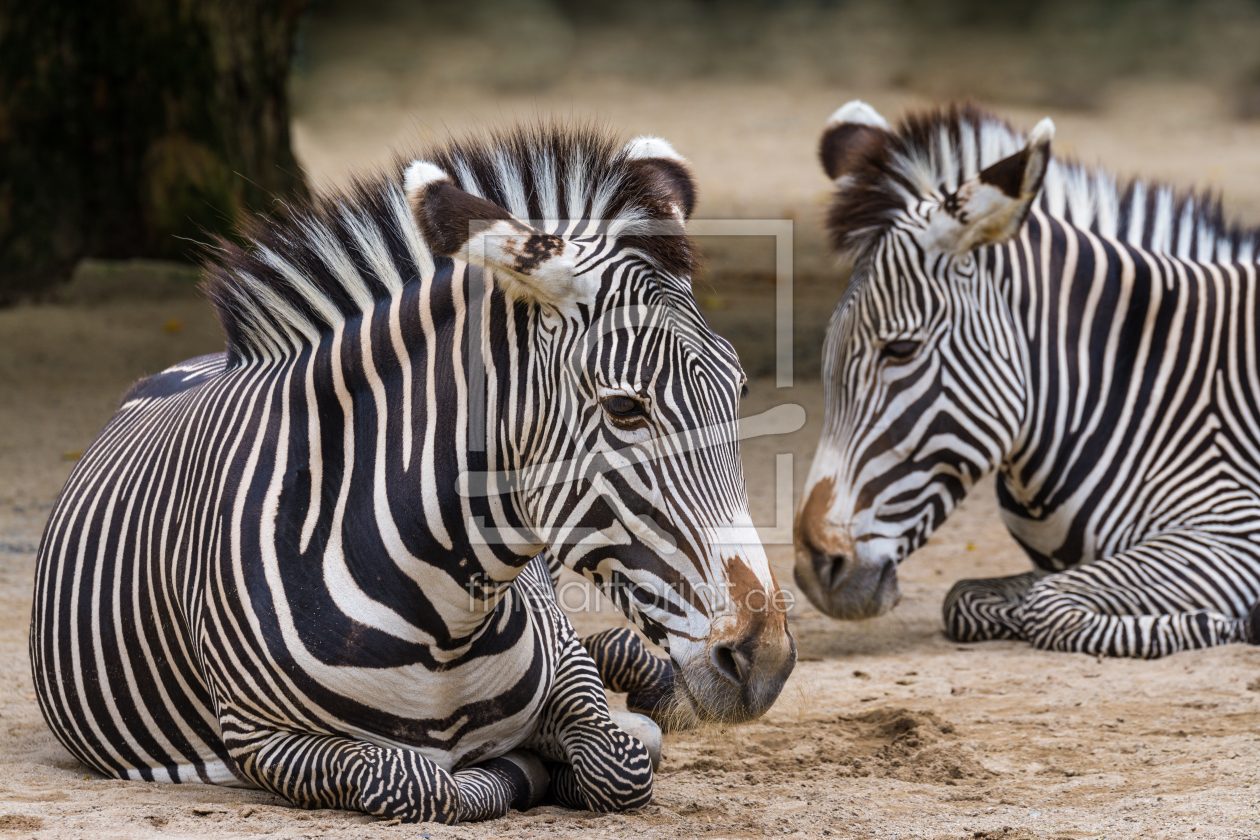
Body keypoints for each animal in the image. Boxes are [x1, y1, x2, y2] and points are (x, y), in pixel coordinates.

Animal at [29, 121, 791, 826]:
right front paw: (523, 769)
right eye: (624, 407)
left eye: (739, 390)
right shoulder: (258, 738)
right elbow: (423, 782)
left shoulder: (565, 665)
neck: (444, 622)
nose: (766, 659)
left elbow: (618, 760)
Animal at [791, 102, 1260, 659]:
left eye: (900, 349)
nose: (815, 568)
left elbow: (1047, 605)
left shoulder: (1232, 531)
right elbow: (965, 598)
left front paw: (1229, 622)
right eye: (826, 355)